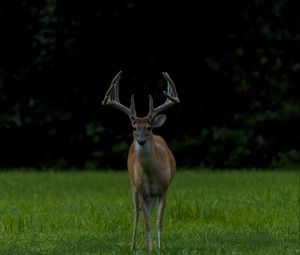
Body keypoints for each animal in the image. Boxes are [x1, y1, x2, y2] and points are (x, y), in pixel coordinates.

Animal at [102, 70, 179, 252]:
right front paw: (150, 248)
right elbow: (147, 223)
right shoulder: (142, 190)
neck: (151, 174)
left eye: (149, 127)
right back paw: (133, 245)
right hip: (133, 186)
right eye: (134, 127)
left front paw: (159, 248)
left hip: (152, 195)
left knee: (147, 213)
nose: (141, 141)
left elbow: (158, 222)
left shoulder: (164, 189)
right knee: (137, 213)